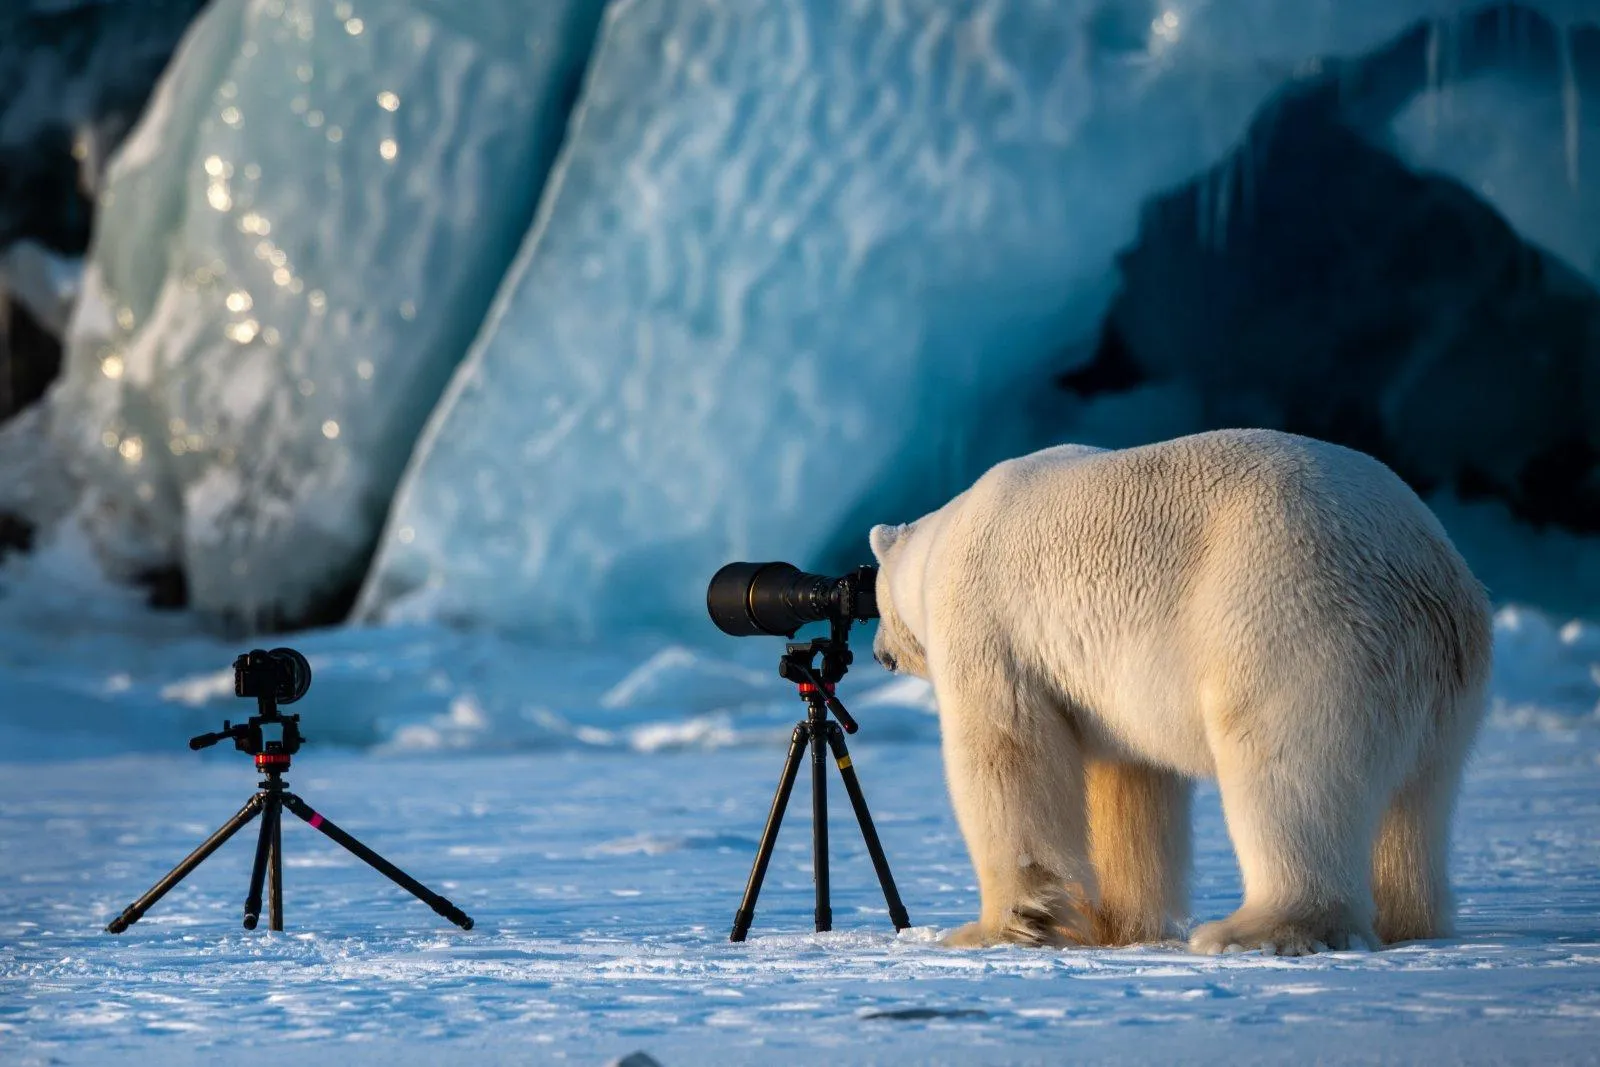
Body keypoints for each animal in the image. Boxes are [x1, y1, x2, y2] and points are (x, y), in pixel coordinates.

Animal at [870, 428, 1491, 953]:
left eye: (872, 599)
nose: (878, 653)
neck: (941, 541)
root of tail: (1425, 573)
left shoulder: (988, 623)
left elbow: (1006, 753)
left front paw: (996, 929)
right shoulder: (1107, 687)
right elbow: (1129, 783)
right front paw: (1113, 925)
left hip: (1295, 623)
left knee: (1287, 775)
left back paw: (1253, 930)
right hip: (1440, 688)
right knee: (1419, 801)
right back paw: (1409, 922)